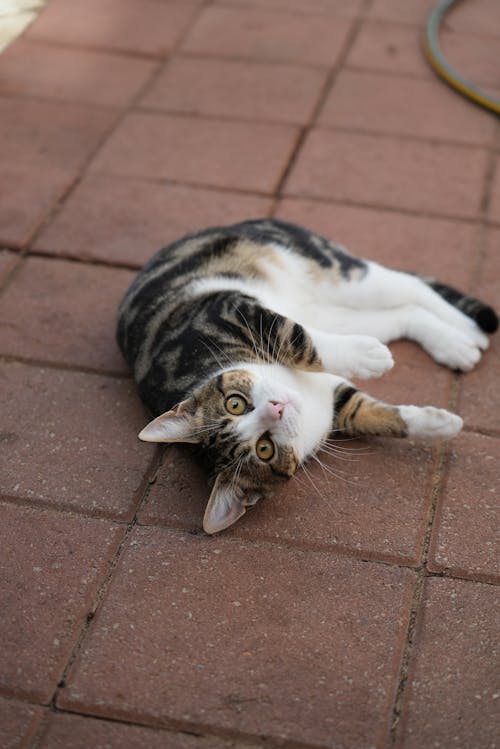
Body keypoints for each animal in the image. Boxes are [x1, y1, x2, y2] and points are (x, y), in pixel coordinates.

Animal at [117, 219, 496, 536]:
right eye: (264, 449)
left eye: (235, 404)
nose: (277, 407)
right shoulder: (337, 404)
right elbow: (371, 414)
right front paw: (439, 424)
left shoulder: (225, 310)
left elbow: (298, 338)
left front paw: (367, 357)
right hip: (339, 313)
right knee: (404, 313)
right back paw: (455, 344)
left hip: (330, 271)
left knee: (410, 287)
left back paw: (467, 329)